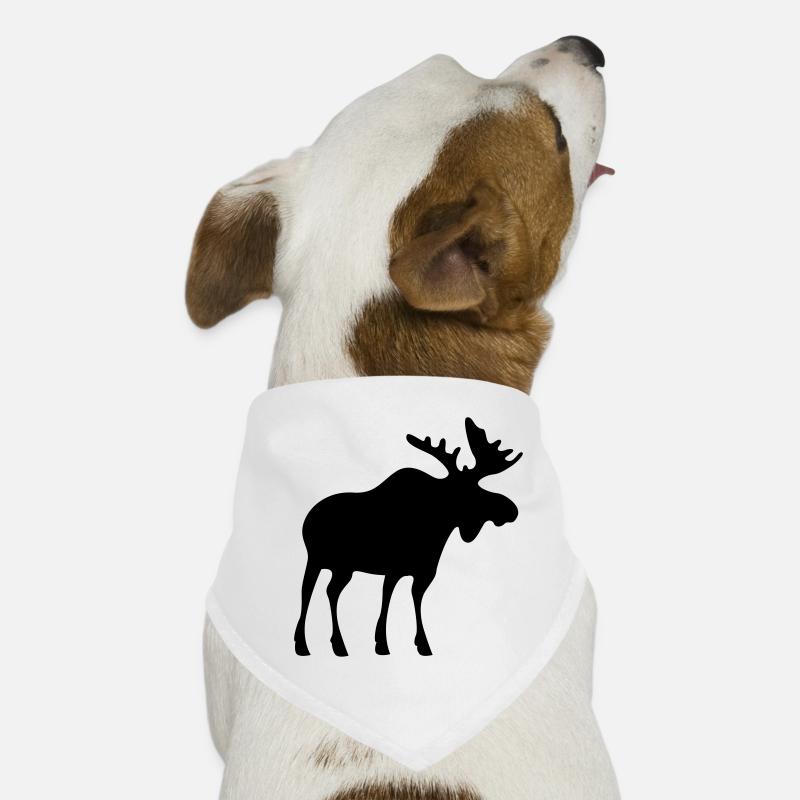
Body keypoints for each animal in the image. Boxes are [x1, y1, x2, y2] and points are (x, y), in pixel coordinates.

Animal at [294, 417, 523, 657]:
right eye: (471, 491)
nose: (511, 509)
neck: (436, 528)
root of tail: (308, 517)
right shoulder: (393, 570)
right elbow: (386, 599)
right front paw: (382, 643)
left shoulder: (424, 573)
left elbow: (416, 600)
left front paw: (423, 644)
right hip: (316, 559)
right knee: (306, 590)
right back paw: (302, 644)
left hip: (343, 568)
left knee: (331, 591)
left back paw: (338, 644)